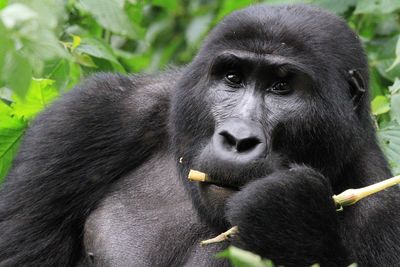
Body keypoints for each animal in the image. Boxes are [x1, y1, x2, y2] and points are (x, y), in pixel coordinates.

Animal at [0, 4, 400, 267]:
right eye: (232, 78)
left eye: (281, 88)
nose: (238, 139)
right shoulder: (85, 116)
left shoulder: (384, 206)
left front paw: (292, 221)